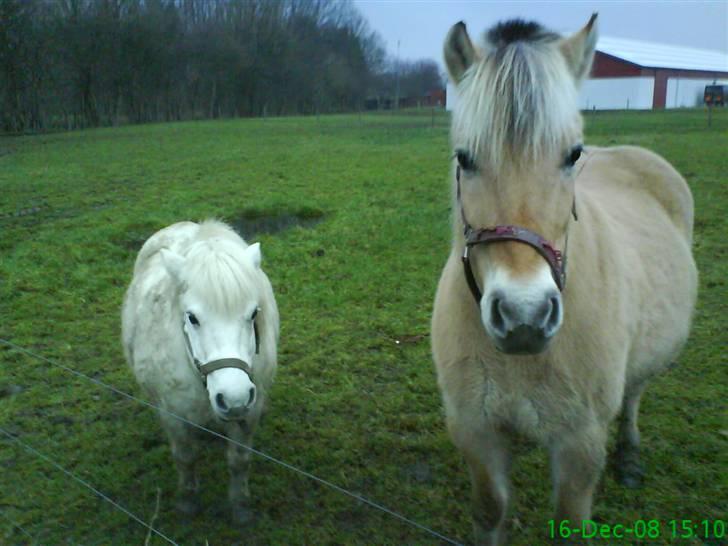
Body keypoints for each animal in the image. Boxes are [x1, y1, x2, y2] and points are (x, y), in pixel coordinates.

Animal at [119, 218, 278, 524]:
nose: (234, 397)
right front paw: (187, 502)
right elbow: (185, 457)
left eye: (254, 313)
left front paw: (240, 505)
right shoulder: (172, 414)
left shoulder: (250, 410)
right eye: (192, 317)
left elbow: (239, 460)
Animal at [432, 14, 700, 540]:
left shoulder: (580, 445)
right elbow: (491, 511)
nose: (525, 315)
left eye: (572, 154)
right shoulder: (476, 432)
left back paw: (630, 457)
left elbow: (570, 523)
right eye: (464, 158)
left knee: (635, 392)